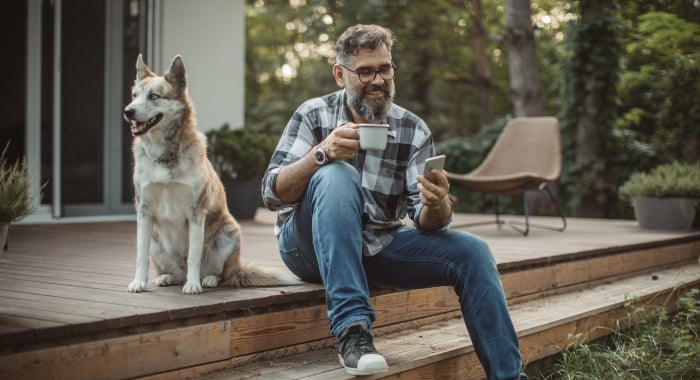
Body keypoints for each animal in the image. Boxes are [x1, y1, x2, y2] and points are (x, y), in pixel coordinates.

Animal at [122, 54, 300, 294]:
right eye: (134, 96)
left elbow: (194, 256)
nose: (128, 111)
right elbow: (140, 255)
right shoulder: (144, 211)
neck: (165, 155)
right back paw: (167, 277)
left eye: (154, 96)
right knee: (172, 270)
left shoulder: (196, 213)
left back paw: (207, 280)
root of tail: (237, 268)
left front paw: (193, 285)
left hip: (230, 233)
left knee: (220, 273)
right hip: (156, 241)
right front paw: (139, 282)